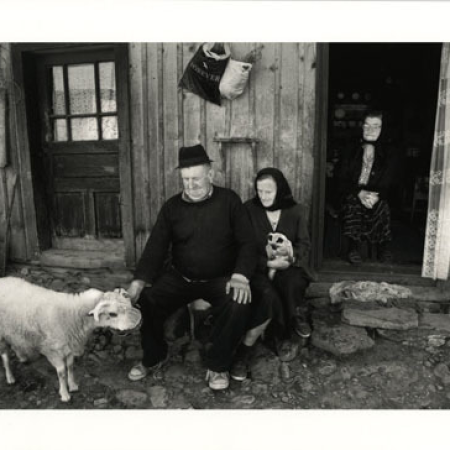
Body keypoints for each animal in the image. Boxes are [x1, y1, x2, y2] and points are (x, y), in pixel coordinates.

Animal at [0, 276, 141, 402]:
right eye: (112, 314)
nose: (137, 321)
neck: (72, 315)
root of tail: (3, 280)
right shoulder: (53, 351)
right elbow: (62, 372)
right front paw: (64, 394)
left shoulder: (69, 347)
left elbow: (71, 367)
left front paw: (73, 386)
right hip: (2, 334)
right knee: (5, 356)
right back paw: (10, 377)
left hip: (12, 328)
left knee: (15, 342)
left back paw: (22, 357)